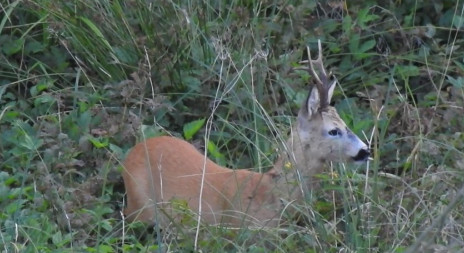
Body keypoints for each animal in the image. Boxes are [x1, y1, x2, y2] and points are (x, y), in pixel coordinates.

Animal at [122, 41, 370, 227]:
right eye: (334, 130)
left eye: (345, 123)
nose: (365, 151)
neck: (271, 193)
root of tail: (133, 151)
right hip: (138, 208)